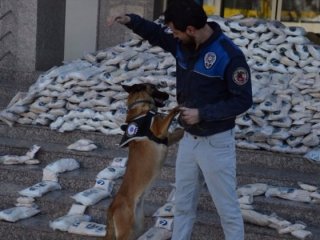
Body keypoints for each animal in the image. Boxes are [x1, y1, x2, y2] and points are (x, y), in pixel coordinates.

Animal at [106, 83, 184, 240]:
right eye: (154, 87)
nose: (168, 94)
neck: (140, 109)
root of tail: (112, 207)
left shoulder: (168, 138)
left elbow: (179, 131)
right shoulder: (159, 129)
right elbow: (171, 112)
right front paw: (179, 106)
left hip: (137, 228)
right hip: (126, 232)